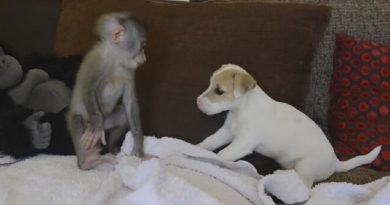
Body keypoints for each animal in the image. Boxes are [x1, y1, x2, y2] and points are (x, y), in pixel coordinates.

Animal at [67, 12, 146, 170]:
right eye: (141, 47)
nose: (144, 58)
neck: (116, 58)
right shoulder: (97, 59)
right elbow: (88, 89)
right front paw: (96, 123)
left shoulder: (130, 71)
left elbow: (130, 103)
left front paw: (138, 148)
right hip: (85, 124)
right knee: (77, 119)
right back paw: (87, 162)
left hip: (107, 123)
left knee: (122, 116)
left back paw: (111, 148)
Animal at [197, 64, 380, 187]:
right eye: (209, 84)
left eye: (219, 91)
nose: (197, 101)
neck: (243, 109)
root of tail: (335, 163)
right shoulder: (226, 132)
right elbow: (209, 142)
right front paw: (197, 149)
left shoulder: (243, 142)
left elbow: (223, 154)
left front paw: (213, 161)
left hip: (305, 166)